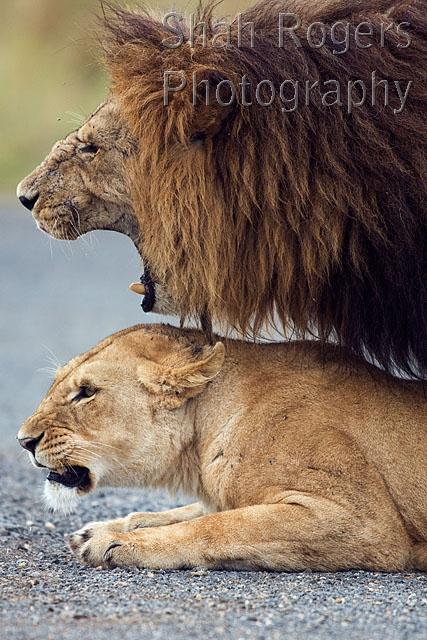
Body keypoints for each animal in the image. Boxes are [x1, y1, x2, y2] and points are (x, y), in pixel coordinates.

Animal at [18, 323, 427, 571]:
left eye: (86, 392)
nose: (23, 441)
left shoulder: (362, 521)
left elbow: (220, 525)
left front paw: (117, 541)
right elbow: (188, 512)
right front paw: (104, 529)